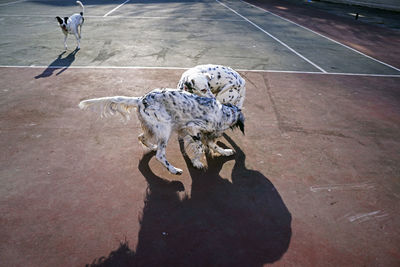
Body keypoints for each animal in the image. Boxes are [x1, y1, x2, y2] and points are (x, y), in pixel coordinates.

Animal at [78, 88, 244, 176]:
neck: (223, 113)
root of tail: (140, 99)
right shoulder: (192, 127)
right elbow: (200, 147)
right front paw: (197, 162)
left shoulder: (205, 133)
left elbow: (212, 145)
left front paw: (226, 151)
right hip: (165, 129)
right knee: (160, 155)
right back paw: (174, 169)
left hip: (154, 128)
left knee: (141, 137)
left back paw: (152, 147)